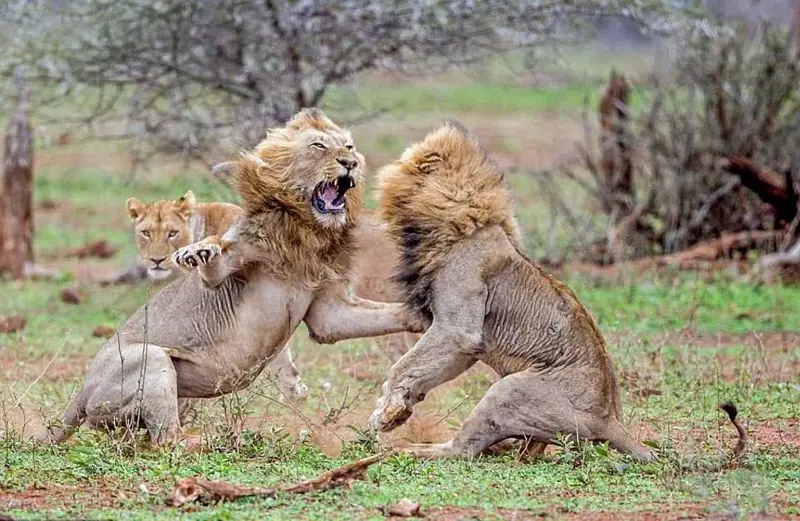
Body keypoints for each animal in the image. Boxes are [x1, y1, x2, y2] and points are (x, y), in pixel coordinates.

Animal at [367, 121, 657, 460]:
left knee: (464, 450)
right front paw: (399, 411)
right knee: (527, 449)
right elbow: (423, 369)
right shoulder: (467, 346)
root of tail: (610, 420)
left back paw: (407, 450)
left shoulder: (457, 329)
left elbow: (401, 366)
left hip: (507, 390)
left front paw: (384, 414)